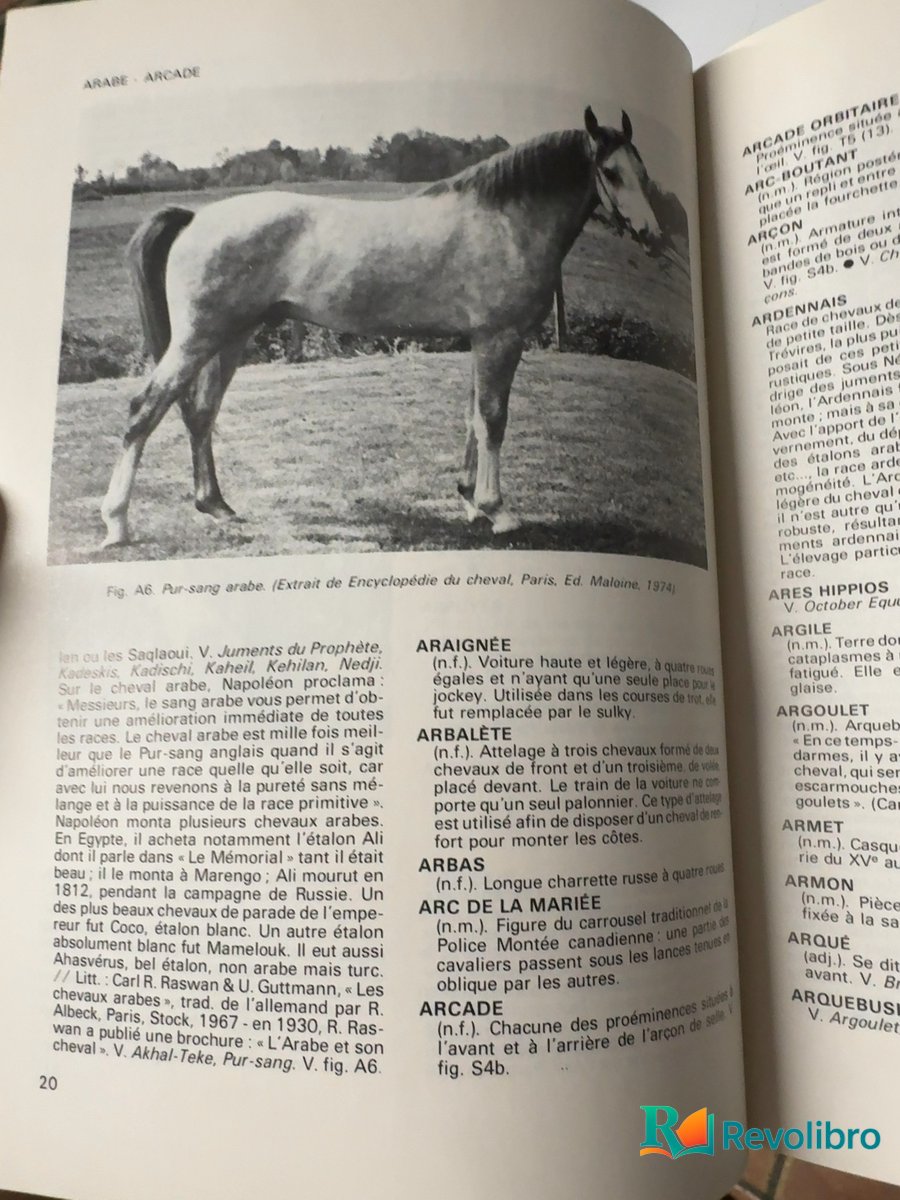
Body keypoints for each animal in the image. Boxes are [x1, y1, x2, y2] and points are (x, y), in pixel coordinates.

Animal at [99, 108, 664, 548]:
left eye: (643, 171)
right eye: (610, 172)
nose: (654, 237)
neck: (504, 222)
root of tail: (196, 218)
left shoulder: (481, 343)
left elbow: (472, 418)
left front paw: (469, 501)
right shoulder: (499, 339)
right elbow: (492, 420)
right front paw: (497, 510)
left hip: (230, 339)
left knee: (199, 414)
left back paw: (216, 505)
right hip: (198, 340)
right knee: (143, 410)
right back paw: (117, 522)